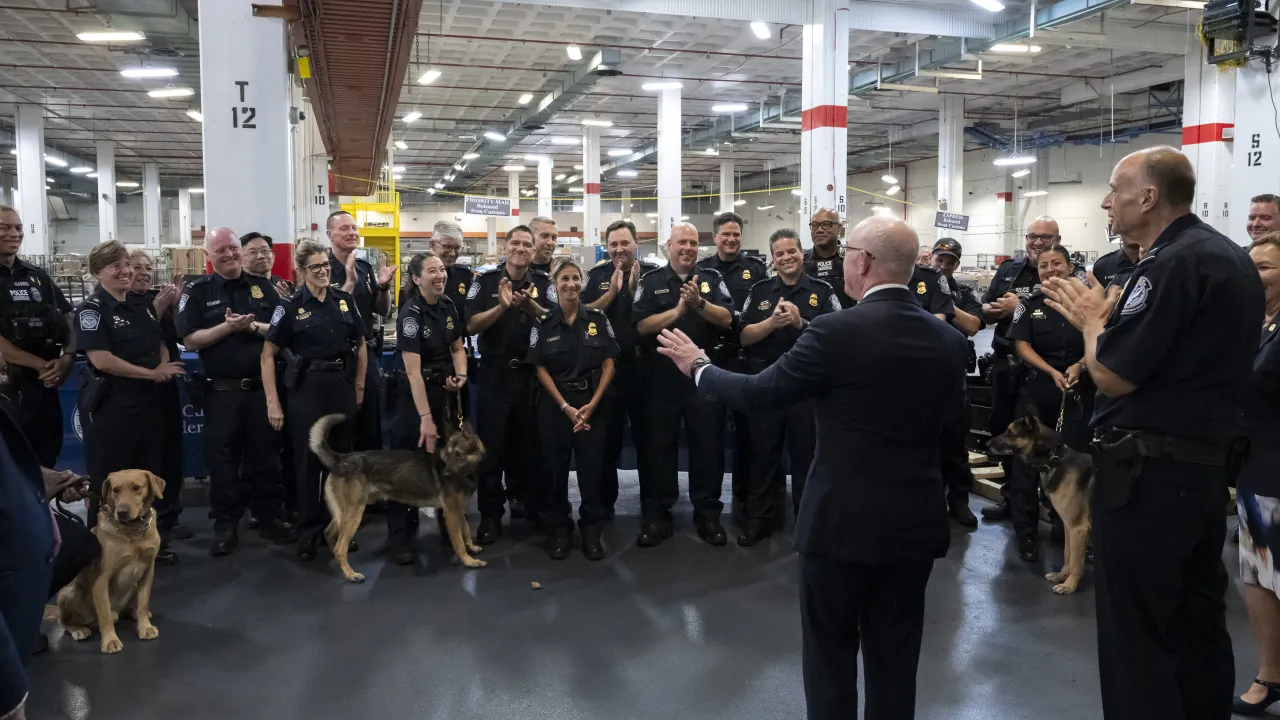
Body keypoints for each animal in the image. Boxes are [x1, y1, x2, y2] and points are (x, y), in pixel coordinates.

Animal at [307, 412, 486, 579]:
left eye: (459, 455)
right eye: (449, 456)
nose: (446, 474)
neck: (467, 474)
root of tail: (341, 458)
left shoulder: (458, 510)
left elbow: (466, 530)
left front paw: (472, 547)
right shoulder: (451, 513)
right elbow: (459, 542)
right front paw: (468, 561)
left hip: (344, 514)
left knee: (329, 534)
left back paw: (339, 563)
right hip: (353, 515)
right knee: (340, 547)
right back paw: (350, 574)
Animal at [983, 409, 1095, 594]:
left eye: (1011, 433)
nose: (985, 443)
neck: (1054, 458)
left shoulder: (1078, 528)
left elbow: (1076, 563)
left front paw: (1069, 586)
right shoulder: (1068, 527)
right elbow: (1067, 555)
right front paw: (1062, 576)